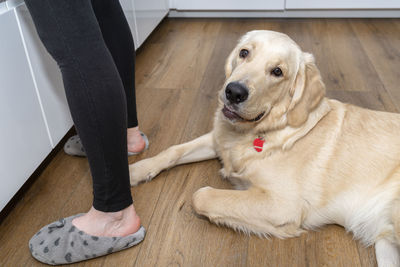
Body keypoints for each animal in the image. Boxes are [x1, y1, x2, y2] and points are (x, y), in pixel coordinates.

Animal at [130, 30, 400, 266]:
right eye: (244, 52)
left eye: (277, 71)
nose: (234, 92)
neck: (258, 133)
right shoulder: (218, 140)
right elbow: (173, 150)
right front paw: (135, 170)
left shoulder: (282, 206)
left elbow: (201, 196)